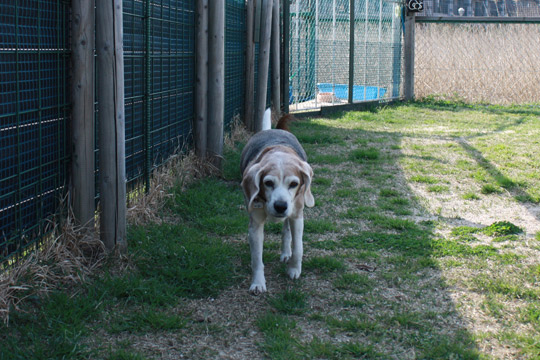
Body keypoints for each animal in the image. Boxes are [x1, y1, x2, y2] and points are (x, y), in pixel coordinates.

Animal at [239, 109, 312, 296]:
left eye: (293, 184)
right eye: (268, 183)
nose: (280, 206)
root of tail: (273, 130)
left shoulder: (297, 216)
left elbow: (298, 247)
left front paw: (294, 269)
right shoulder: (255, 225)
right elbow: (257, 258)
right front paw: (258, 283)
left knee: (286, 231)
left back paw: (286, 252)